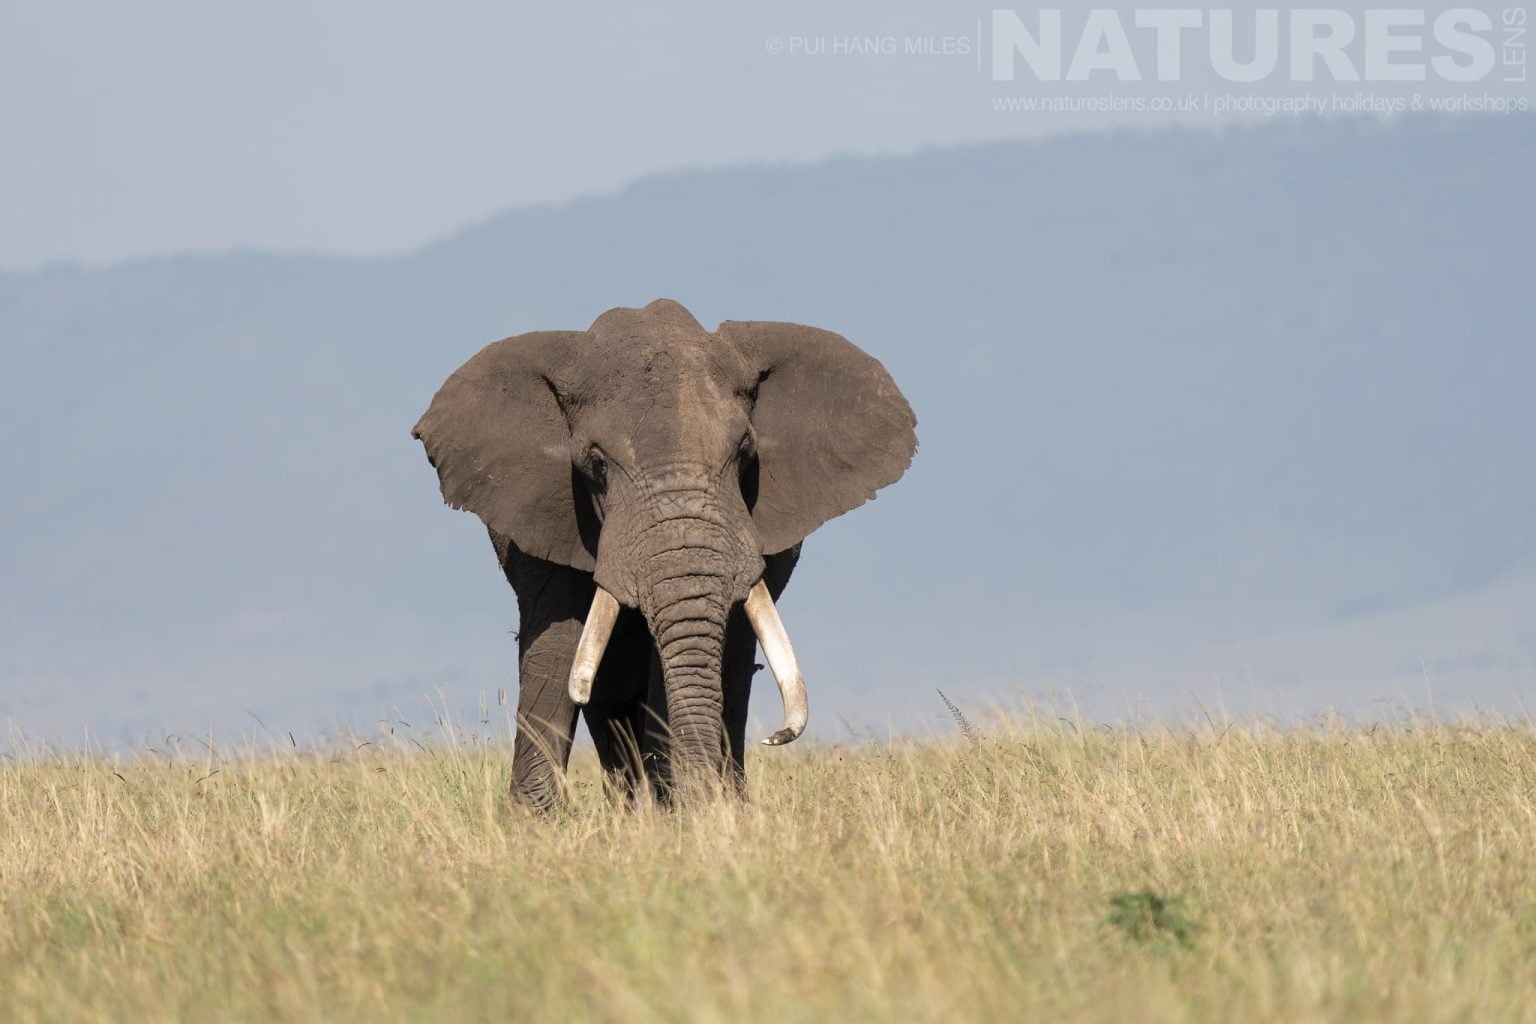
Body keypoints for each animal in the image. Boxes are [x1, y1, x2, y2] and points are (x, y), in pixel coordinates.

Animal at [413, 299, 916, 808]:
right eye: (595, 462)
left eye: (745, 450)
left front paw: (687, 809)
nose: (775, 737)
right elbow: (558, 645)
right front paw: (538, 819)